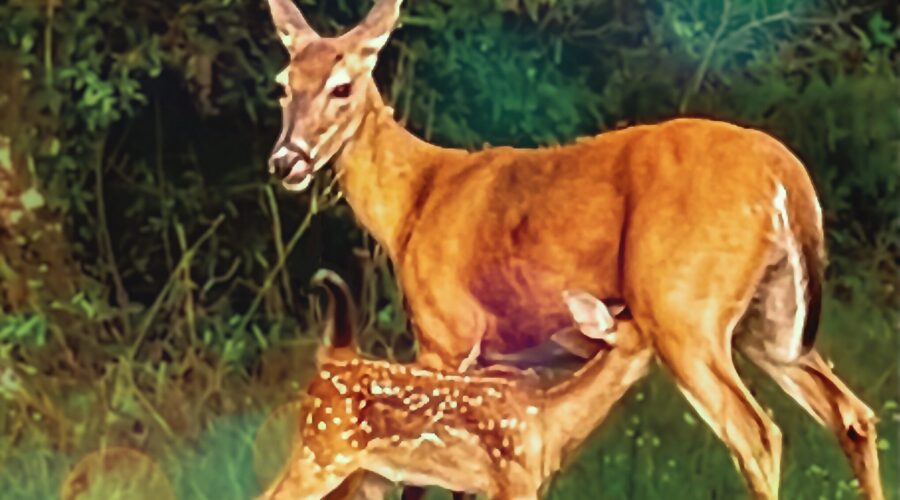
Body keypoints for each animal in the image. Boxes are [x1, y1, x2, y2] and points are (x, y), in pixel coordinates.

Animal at [259, 271, 653, 500]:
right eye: (647, 324)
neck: (549, 419)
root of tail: (330, 361)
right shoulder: (513, 483)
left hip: (361, 472)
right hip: (324, 456)